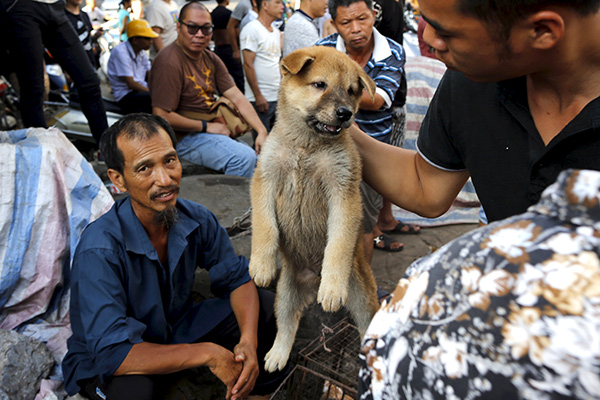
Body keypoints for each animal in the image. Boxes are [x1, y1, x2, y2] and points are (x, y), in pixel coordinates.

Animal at [248, 46, 380, 372]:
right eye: (320, 85)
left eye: (351, 91)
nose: (346, 113)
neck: (306, 147)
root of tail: (311, 283)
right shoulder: (265, 178)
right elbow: (265, 226)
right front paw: (262, 265)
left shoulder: (343, 192)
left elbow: (338, 244)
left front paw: (332, 286)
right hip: (284, 295)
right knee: (286, 325)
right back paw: (277, 355)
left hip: (361, 295)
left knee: (366, 326)